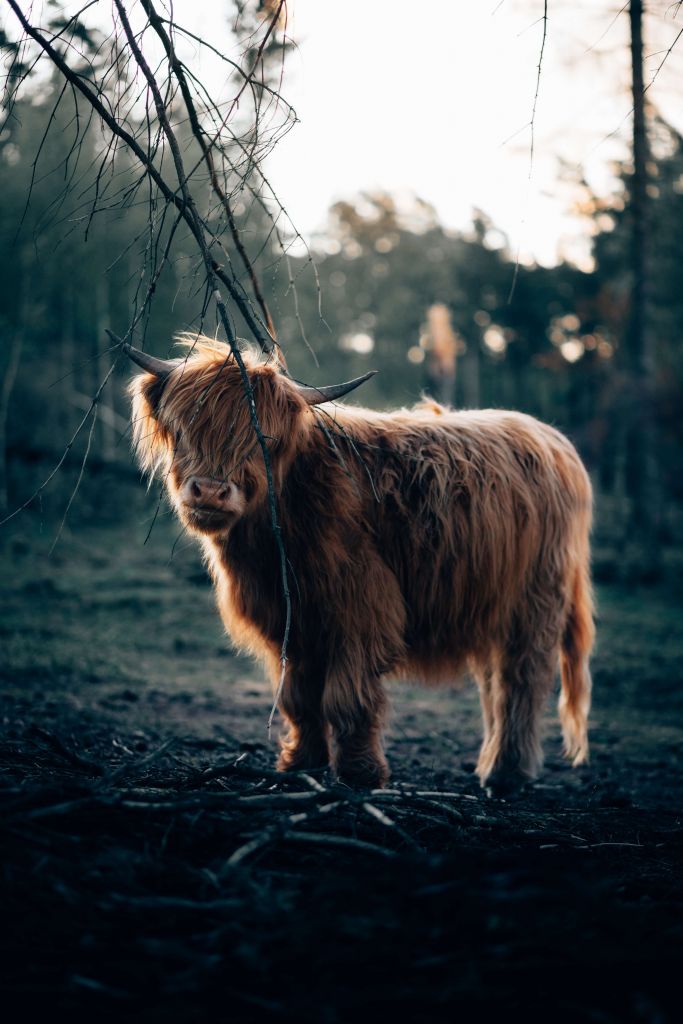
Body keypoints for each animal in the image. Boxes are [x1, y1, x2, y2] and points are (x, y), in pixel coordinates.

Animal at [126, 335, 593, 790]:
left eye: (263, 439)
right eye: (182, 430)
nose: (209, 492)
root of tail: (554, 441)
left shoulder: (361, 610)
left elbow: (345, 698)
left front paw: (359, 773)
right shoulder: (290, 620)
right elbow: (299, 698)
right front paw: (301, 764)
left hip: (534, 603)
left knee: (523, 679)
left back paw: (508, 773)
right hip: (488, 605)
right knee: (495, 683)